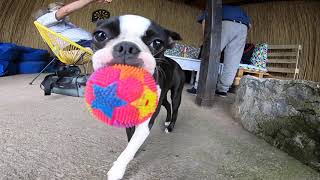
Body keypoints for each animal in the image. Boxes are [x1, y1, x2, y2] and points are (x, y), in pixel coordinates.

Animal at [90, 14, 185, 179]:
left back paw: (170, 126)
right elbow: (130, 139)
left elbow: (131, 146)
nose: (127, 47)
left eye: (157, 43)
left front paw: (117, 170)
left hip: (176, 93)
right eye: (100, 35)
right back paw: (167, 121)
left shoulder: (146, 122)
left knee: (175, 108)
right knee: (167, 105)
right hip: (162, 97)